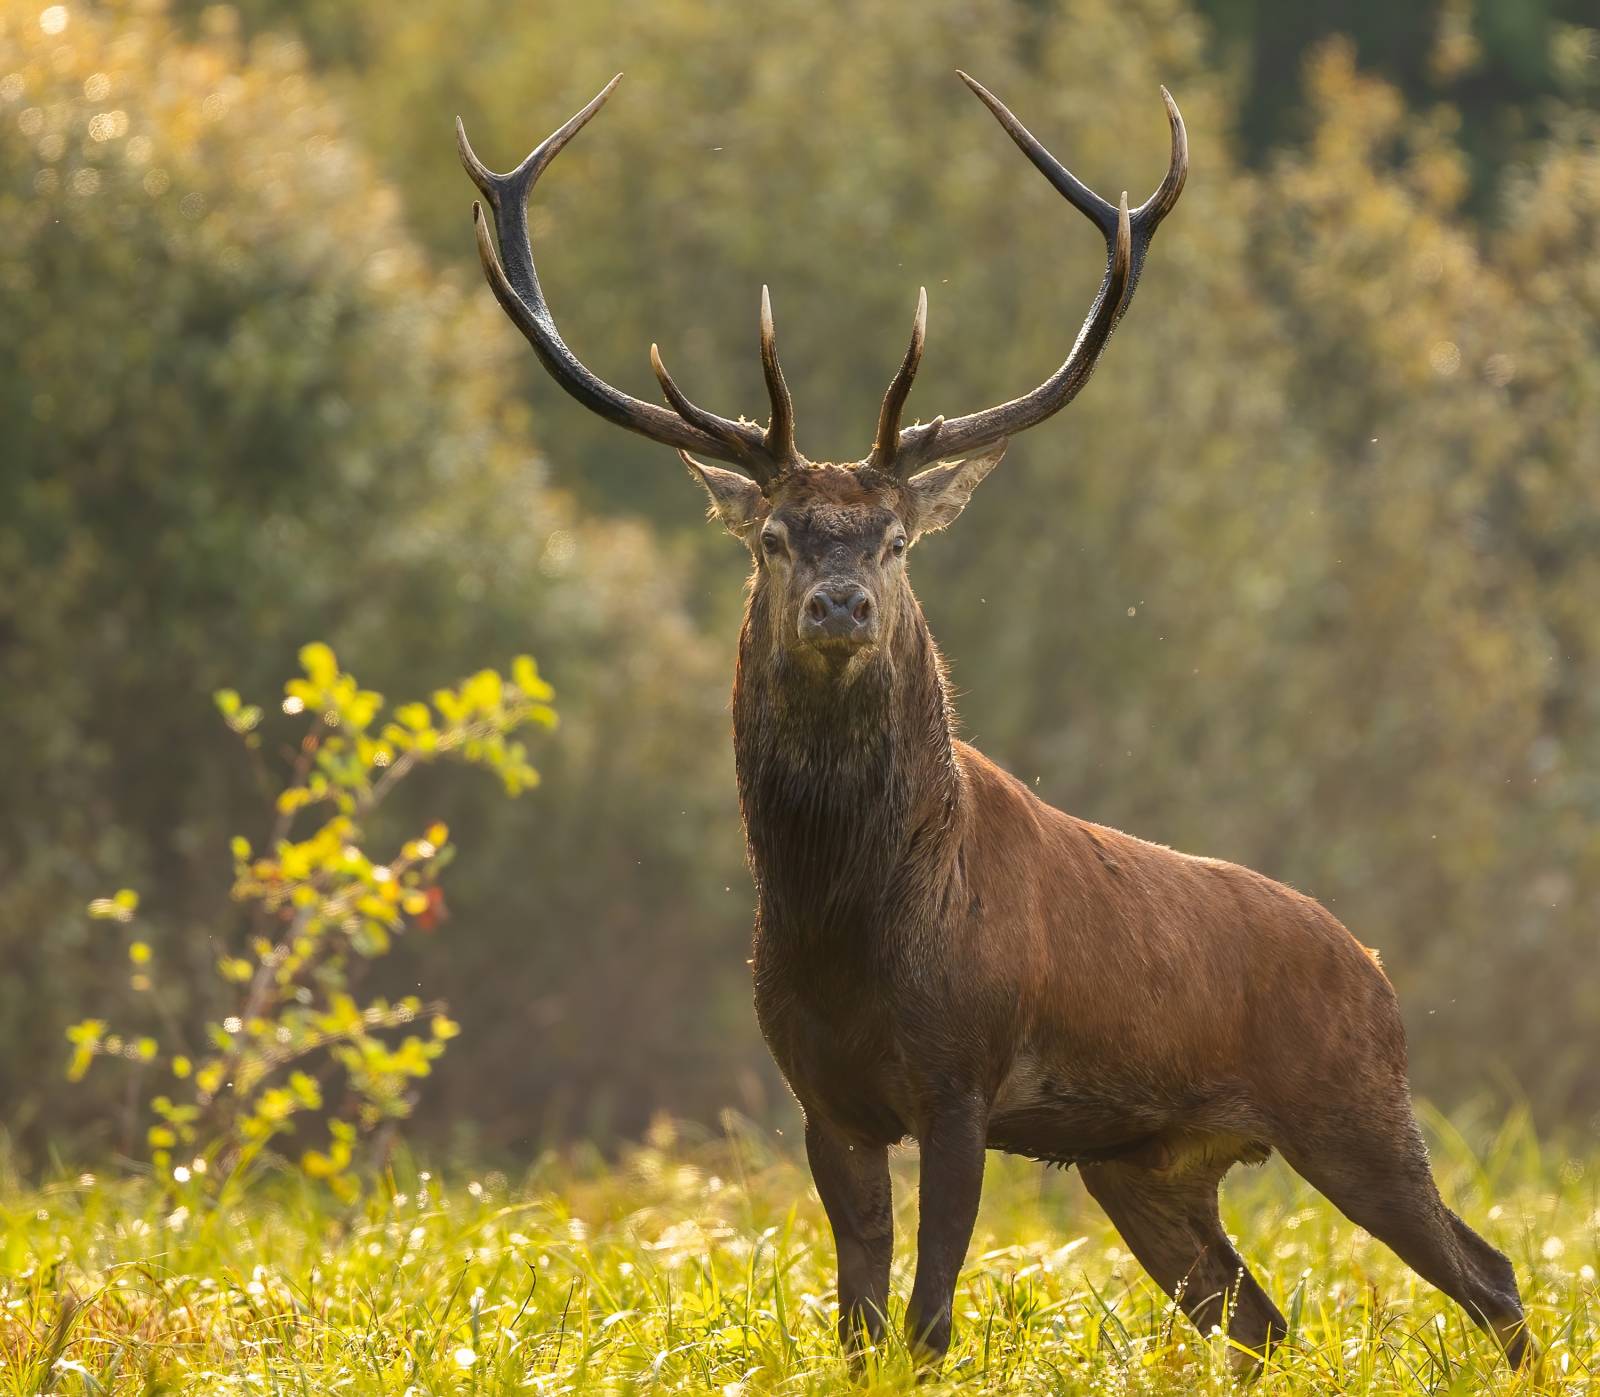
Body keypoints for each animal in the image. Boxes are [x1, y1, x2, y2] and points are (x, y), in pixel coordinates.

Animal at [457, 72, 1528, 1373]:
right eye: (776, 537)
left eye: (893, 540)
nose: (840, 602)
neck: (843, 915)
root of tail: (1373, 966)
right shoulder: (821, 1096)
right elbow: (859, 1322)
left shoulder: (961, 1077)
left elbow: (926, 1320)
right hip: (1147, 1164)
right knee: (1264, 1320)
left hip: (1354, 1105)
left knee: (1488, 1271)